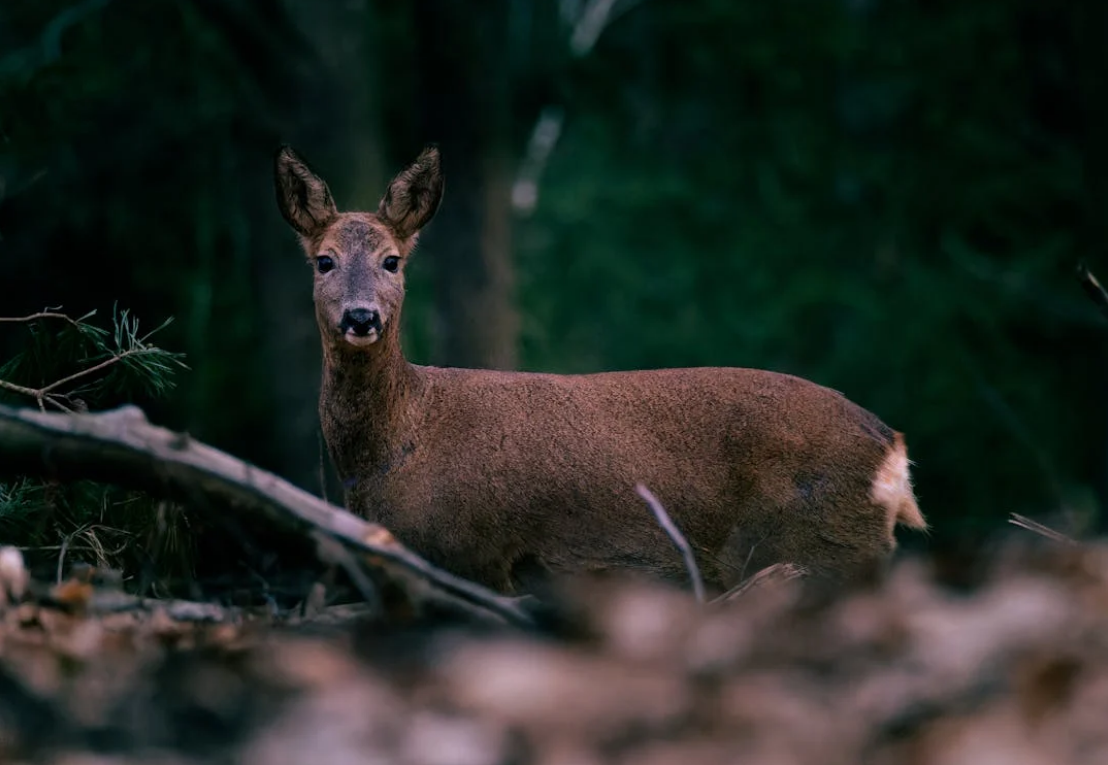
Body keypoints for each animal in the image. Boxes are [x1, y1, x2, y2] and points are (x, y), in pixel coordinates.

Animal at [274, 143, 926, 594]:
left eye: (392, 260)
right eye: (324, 260)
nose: (361, 317)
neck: (394, 447)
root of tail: (892, 448)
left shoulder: (471, 551)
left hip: (826, 541)